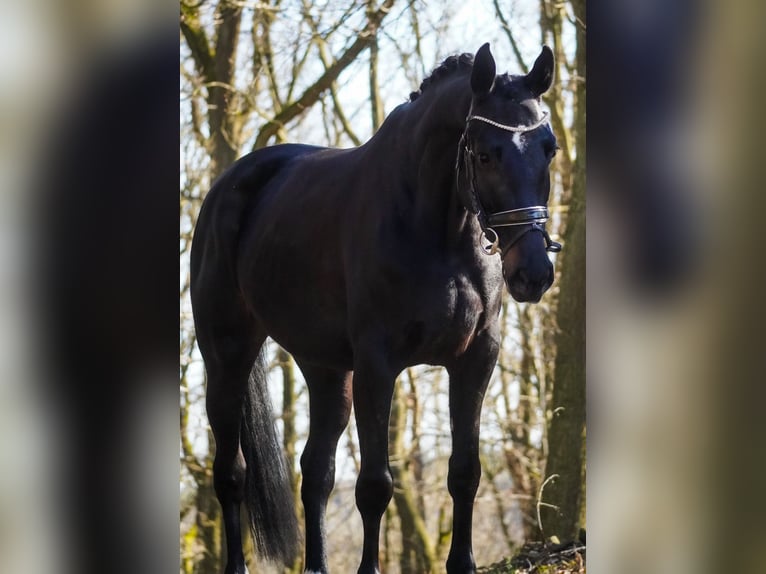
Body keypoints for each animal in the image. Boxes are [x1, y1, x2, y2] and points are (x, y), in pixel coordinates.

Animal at [190, 42, 560, 574]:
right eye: (485, 153)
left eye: (549, 148)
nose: (532, 273)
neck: (438, 231)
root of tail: (227, 186)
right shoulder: (377, 365)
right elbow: (374, 485)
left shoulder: (475, 359)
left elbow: (465, 471)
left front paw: (463, 562)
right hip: (227, 357)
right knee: (231, 472)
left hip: (325, 369)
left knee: (316, 472)